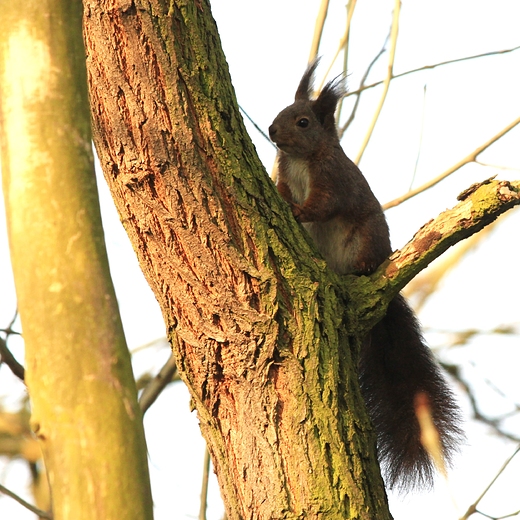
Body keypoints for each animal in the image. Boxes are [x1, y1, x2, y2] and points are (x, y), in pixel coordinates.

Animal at [270, 61, 462, 492]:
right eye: (281, 111)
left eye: (303, 121)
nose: (271, 131)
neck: (302, 159)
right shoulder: (286, 176)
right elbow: (282, 189)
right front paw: (284, 201)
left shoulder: (333, 179)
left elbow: (323, 205)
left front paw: (299, 212)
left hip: (366, 240)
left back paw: (360, 269)